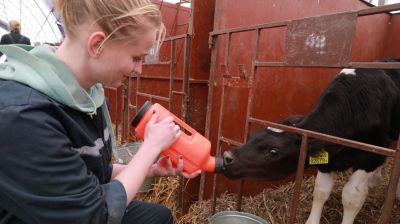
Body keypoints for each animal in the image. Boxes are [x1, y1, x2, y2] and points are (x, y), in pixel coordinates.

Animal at [220, 59, 400, 224]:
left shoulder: (370, 157)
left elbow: (352, 198)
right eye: (253, 136)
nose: (227, 157)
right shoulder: (327, 157)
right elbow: (320, 190)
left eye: (273, 152)